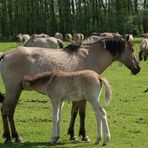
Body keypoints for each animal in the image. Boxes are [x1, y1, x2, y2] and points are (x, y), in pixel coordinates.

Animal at [0, 34, 140, 143]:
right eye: (132, 49)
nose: (138, 68)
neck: (89, 56)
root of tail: (5, 54)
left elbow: (74, 113)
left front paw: (72, 134)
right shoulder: (83, 97)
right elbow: (81, 113)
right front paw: (83, 135)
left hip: (16, 91)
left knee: (10, 112)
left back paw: (16, 137)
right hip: (12, 91)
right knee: (5, 110)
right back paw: (8, 137)